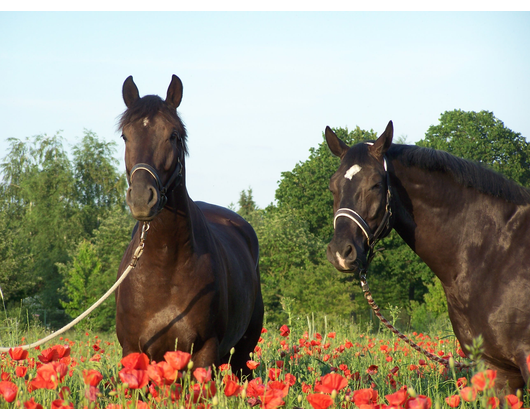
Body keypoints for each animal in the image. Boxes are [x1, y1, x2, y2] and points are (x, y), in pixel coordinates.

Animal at [116, 75, 264, 378]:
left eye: (172, 135)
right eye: (126, 135)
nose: (142, 198)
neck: (164, 266)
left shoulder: (205, 350)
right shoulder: (134, 352)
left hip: (242, 356)